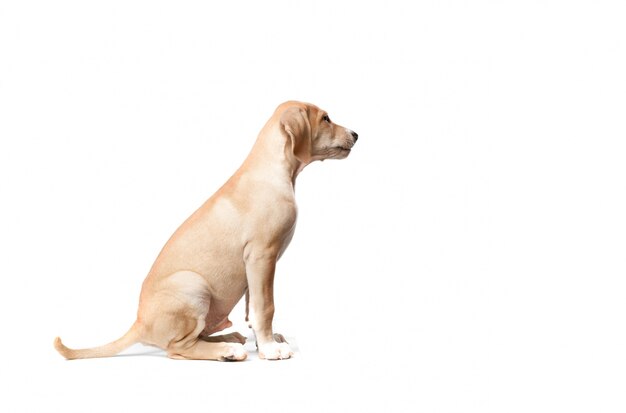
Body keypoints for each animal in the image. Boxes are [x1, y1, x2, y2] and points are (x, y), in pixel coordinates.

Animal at [54, 100, 356, 360]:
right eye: (326, 118)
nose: (356, 134)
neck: (273, 169)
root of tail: (139, 323)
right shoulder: (262, 255)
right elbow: (265, 306)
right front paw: (270, 349)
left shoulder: (255, 265)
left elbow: (253, 307)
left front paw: (263, 343)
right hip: (193, 286)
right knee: (177, 349)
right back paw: (227, 351)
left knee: (194, 338)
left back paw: (227, 339)